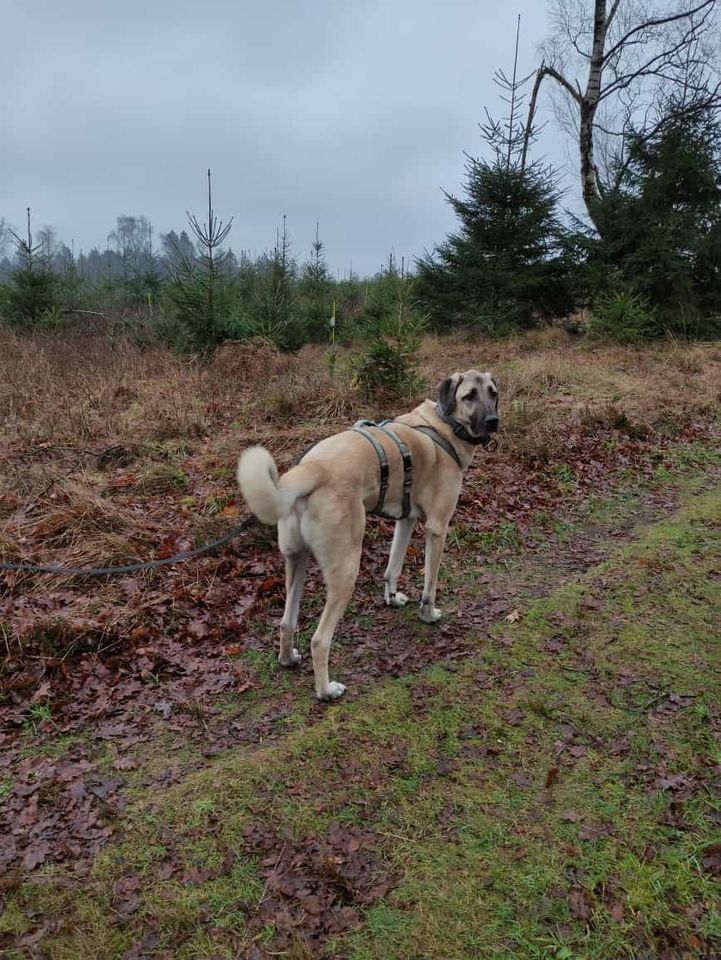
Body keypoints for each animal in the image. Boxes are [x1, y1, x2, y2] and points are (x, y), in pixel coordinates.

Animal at [239, 370, 498, 696]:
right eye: (469, 396)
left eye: (493, 392)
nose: (493, 420)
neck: (443, 425)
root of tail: (311, 468)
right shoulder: (437, 528)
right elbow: (430, 585)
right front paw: (428, 615)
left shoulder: (406, 521)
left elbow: (393, 568)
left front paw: (392, 598)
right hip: (346, 571)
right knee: (319, 640)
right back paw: (326, 691)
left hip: (296, 560)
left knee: (287, 622)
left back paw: (288, 658)